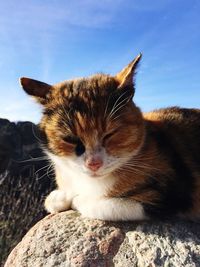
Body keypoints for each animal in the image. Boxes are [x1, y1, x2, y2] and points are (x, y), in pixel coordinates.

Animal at [19, 54, 200, 222]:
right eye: (70, 139)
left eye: (110, 134)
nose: (93, 163)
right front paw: (59, 197)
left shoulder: (169, 195)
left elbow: (97, 205)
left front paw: (75, 198)